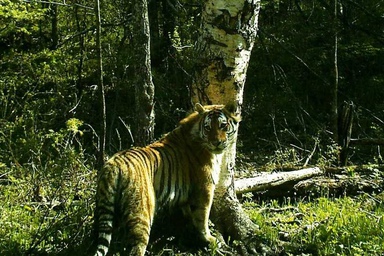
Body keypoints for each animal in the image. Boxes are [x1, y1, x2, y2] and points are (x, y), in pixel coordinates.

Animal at [93, 103, 240, 255]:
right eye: (208, 127)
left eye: (223, 125)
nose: (216, 142)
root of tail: (113, 165)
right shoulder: (205, 188)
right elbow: (203, 216)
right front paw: (209, 239)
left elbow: (189, 214)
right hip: (141, 213)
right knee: (136, 247)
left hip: (106, 208)